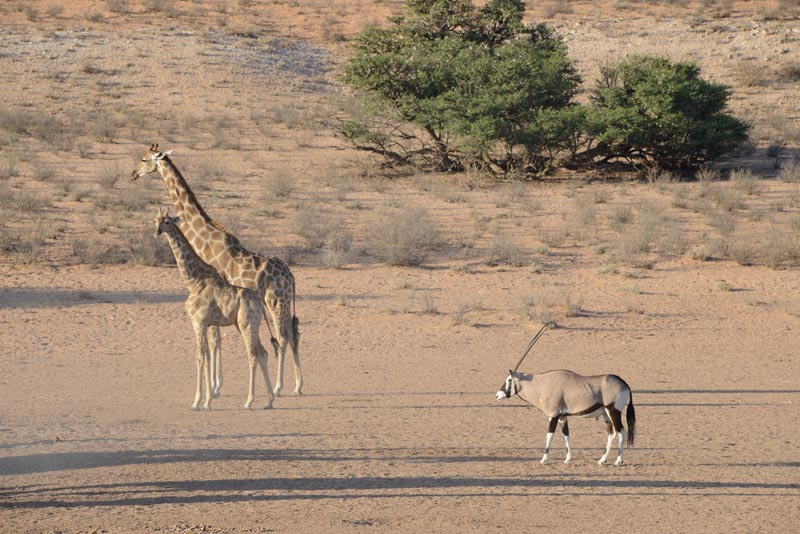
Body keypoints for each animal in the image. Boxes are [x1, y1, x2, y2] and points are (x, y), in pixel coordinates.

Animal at [153, 207, 276, 412]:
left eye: (167, 221)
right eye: (155, 220)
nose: (156, 232)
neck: (193, 280)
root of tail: (260, 302)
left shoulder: (199, 322)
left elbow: (200, 357)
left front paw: (197, 402)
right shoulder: (208, 324)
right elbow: (208, 356)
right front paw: (207, 400)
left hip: (246, 324)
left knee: (252, 355)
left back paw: (249, 401)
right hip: (248, 325)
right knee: (263, 353)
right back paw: (269, 401)